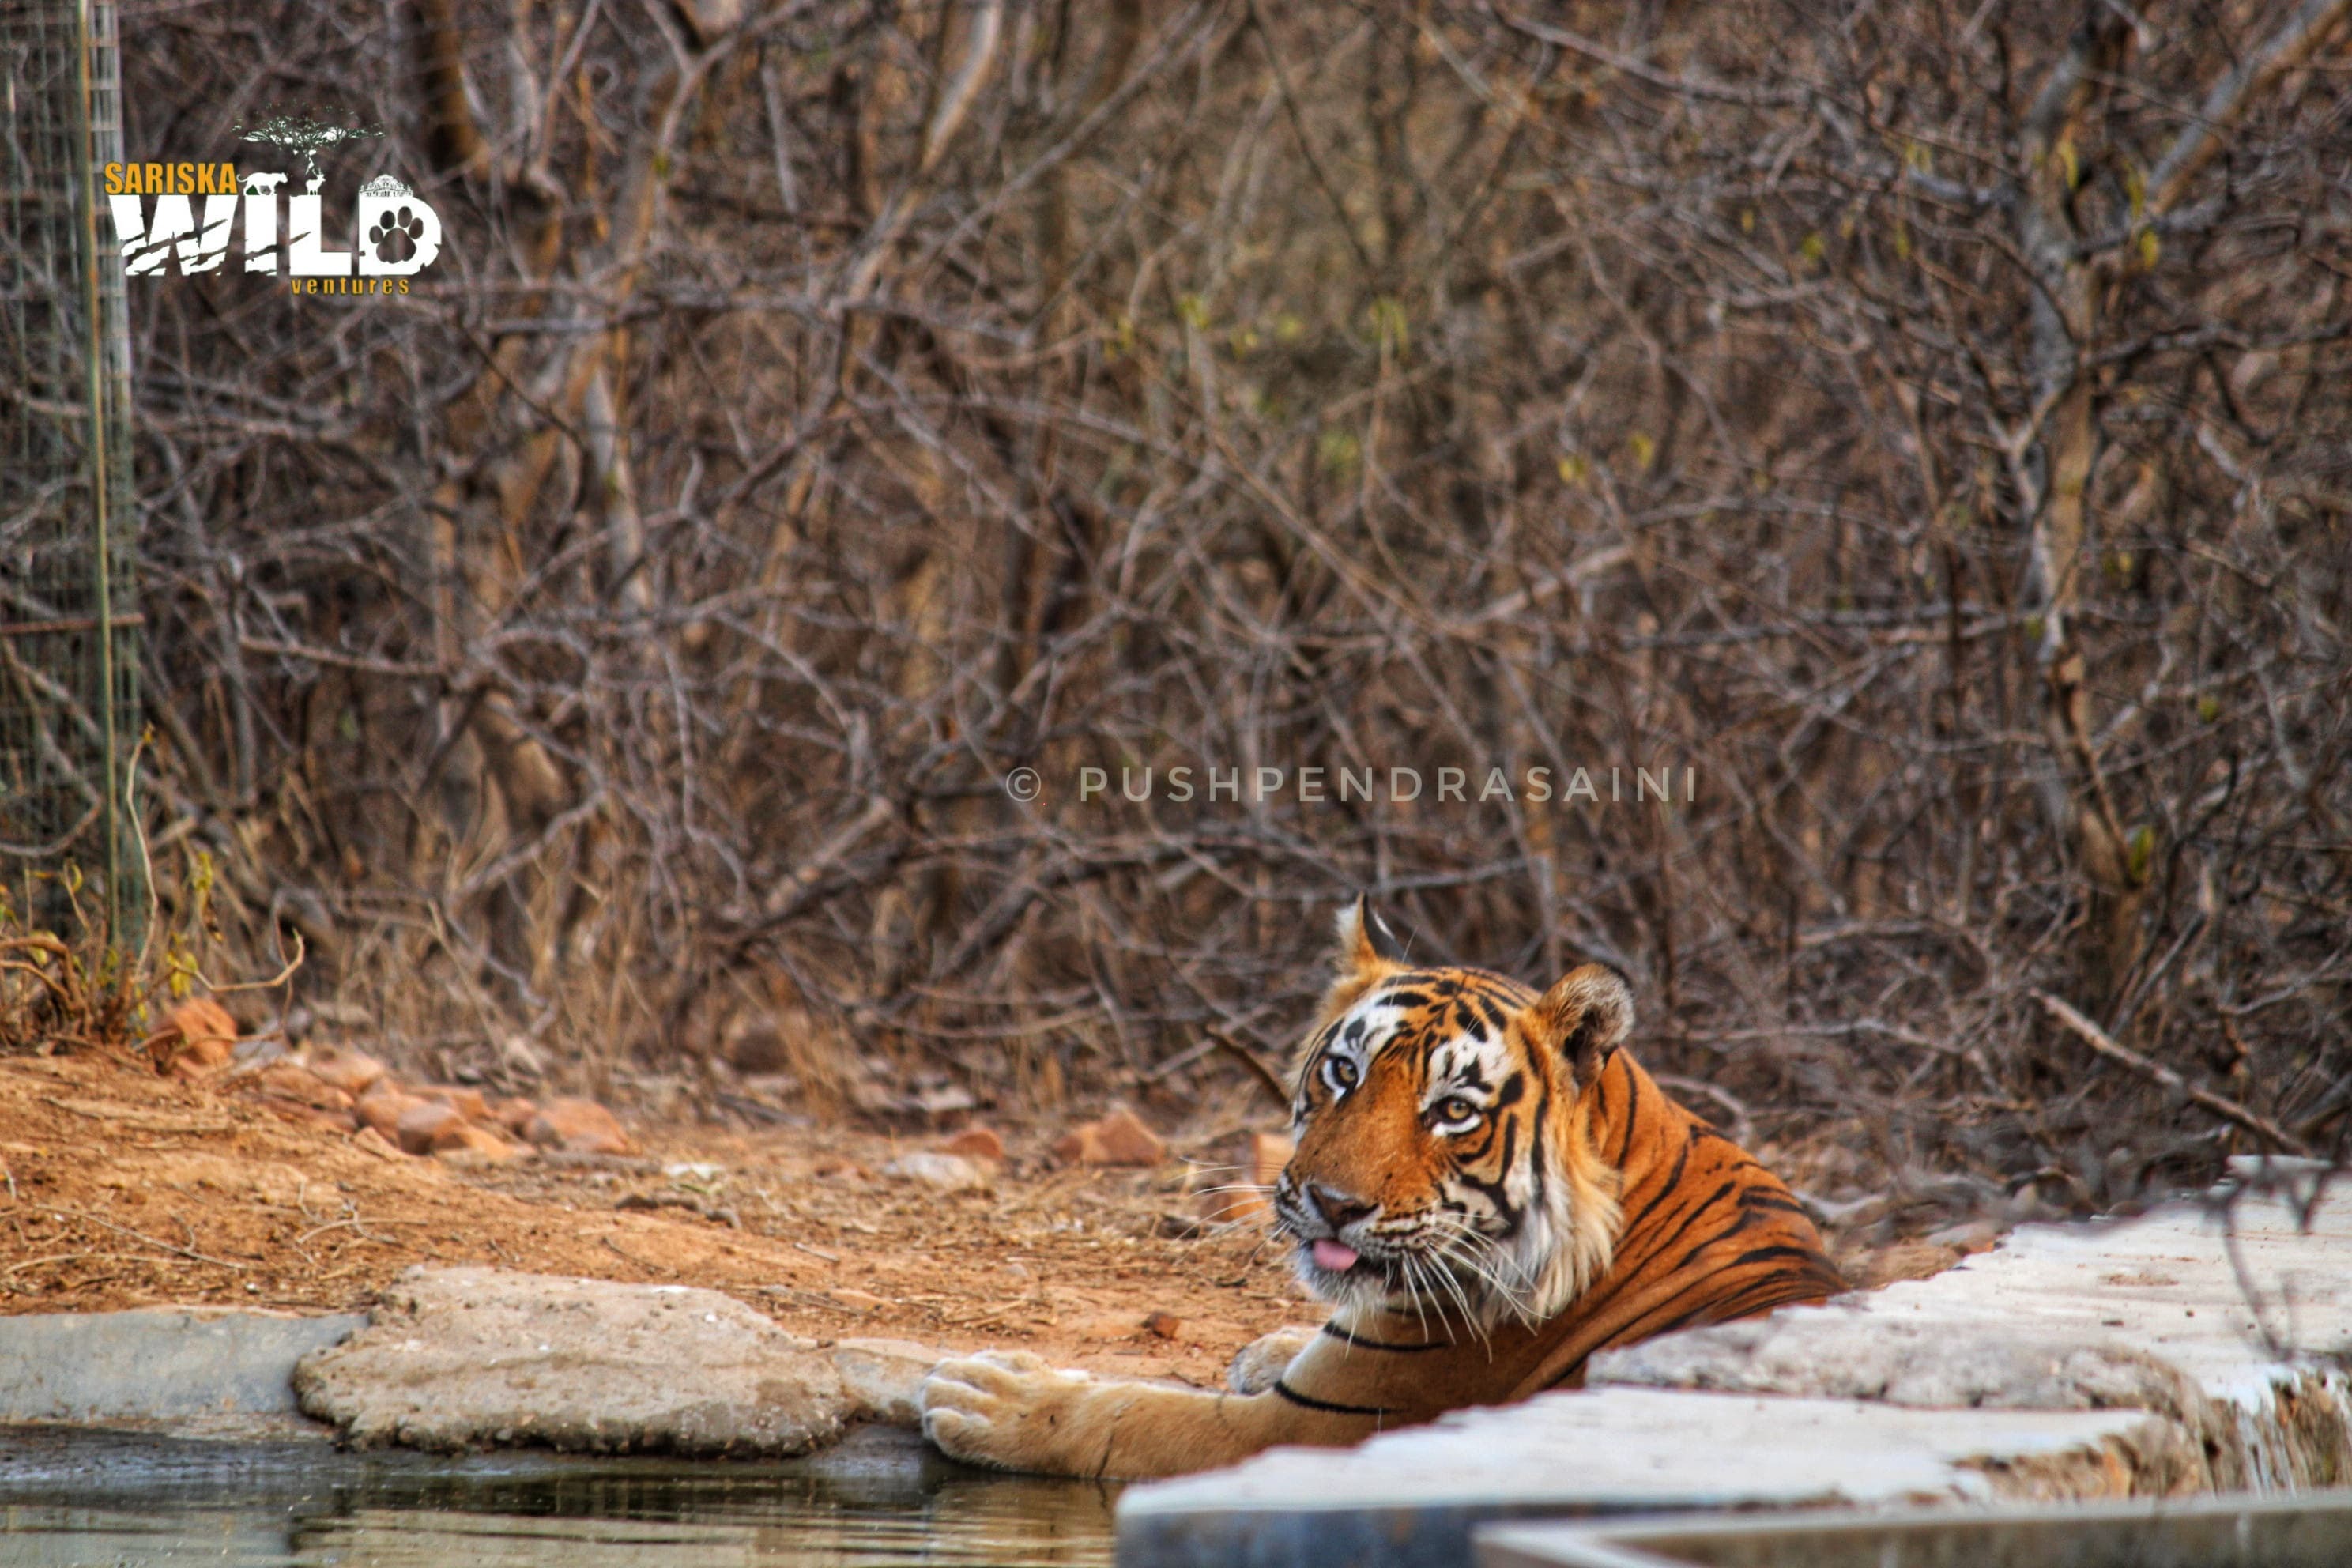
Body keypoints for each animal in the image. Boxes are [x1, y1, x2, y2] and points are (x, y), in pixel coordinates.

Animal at [919, 896, 1846, 1479]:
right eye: (1343, 1071)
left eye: (1454, 1111)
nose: (1333, 1204)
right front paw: (1265, 1347)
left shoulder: (1310, 1430)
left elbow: (1132, 1415)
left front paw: (986, 1394)